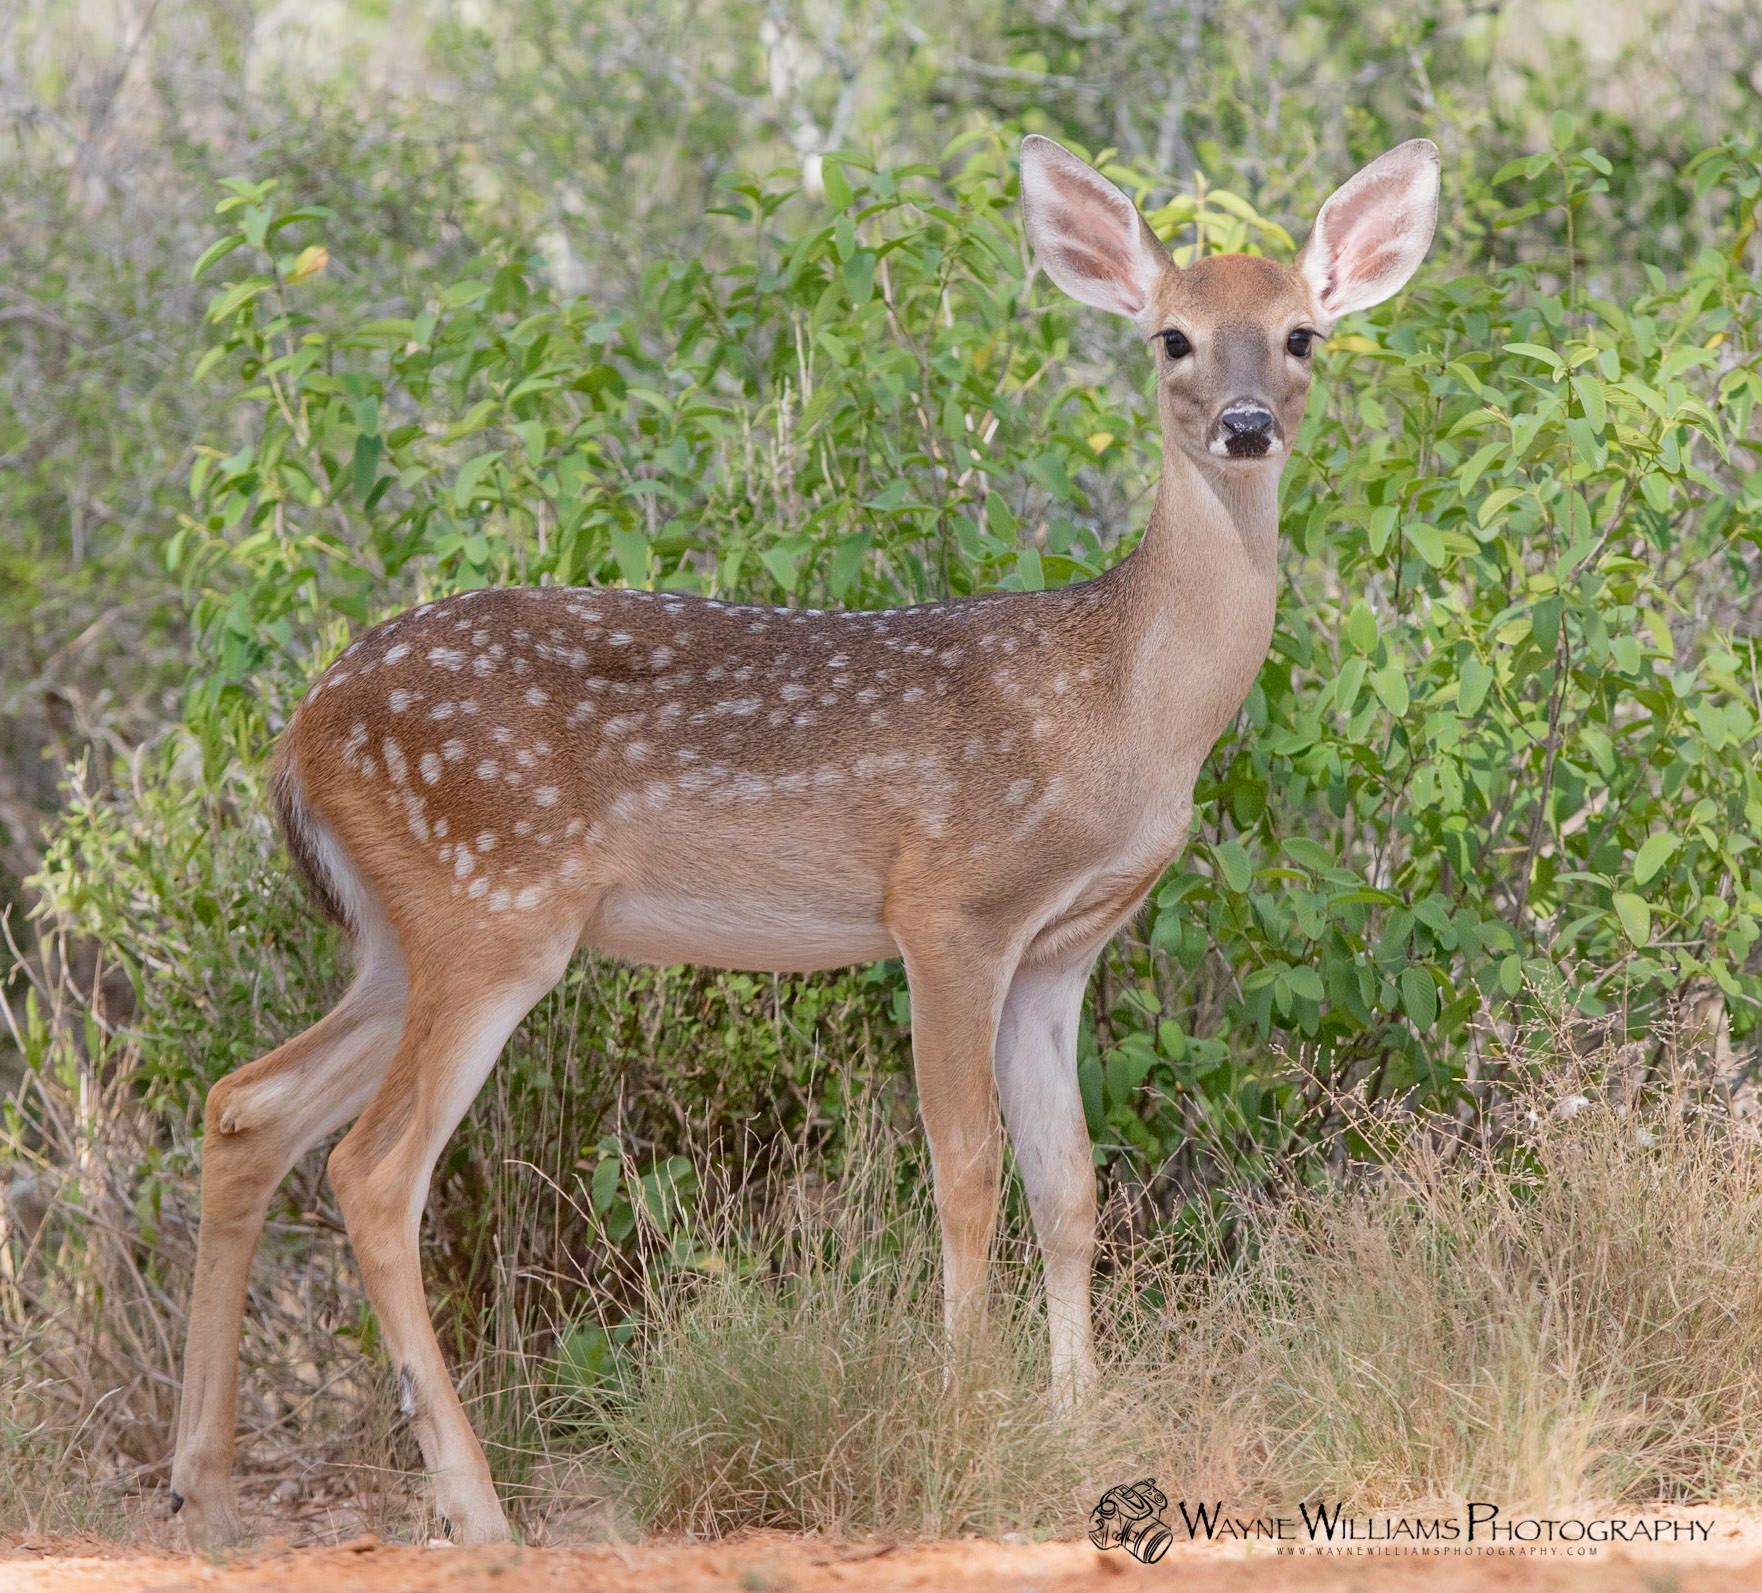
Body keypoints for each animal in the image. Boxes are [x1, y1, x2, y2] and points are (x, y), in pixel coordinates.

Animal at [169, 133, 1439, 1546]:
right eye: (1172, 336)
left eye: (1302, 334)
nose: (1244, 424)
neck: (1123, 705)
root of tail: (299, 730)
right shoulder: (948, 907)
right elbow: (965, 1170)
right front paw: (963, 1422)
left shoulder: (1061, 950)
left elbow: (1068, 1187)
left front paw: (1077, 1430)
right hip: (488, 905)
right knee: (372, 1170)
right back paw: (476, 1511)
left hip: (403, 936)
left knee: (246, 1107)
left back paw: (203, 1489)